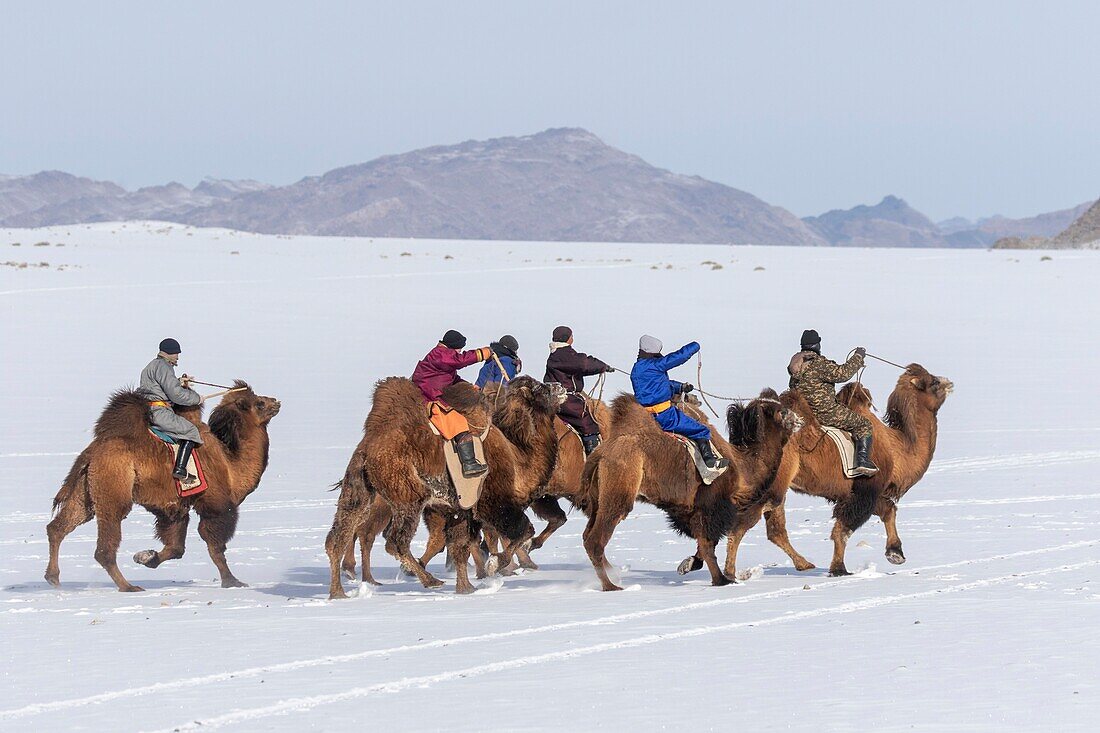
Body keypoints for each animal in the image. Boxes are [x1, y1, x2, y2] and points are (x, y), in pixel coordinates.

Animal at [44, 383, 281, 589]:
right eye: (259, 403)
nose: (276, 401)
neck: (231, 465)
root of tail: (91, 454)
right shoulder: (215, 504)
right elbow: (215, 546)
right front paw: (232, 582)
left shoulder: (174, 507)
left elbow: (176, 547)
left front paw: (145, 557)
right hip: (112, 486)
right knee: (104, 546)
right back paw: (128, 587)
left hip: (86, 490)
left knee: (59, 527)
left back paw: (53, 578)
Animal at [323, 374, 567, 598]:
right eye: (539, 388)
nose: (561, 387)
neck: (518, 458)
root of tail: (367, 450)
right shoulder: (492, 501)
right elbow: (523, 530)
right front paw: (495, 566)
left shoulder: (459, 509)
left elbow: (460, 547)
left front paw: (466, 588)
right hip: (408, 494)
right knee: (394, 541)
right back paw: (430, 580)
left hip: (358, 489)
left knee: (338, 536)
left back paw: (338, 593)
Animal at [576, 387, 800, 589]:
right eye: (782, 412)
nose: (799, 420)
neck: (741, 467)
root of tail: (601, 454)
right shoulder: (711, 503)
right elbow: (708, 544)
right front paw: (721, 580)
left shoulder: (690, 509)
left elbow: (704, 543)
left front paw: (688, 565)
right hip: (619, 488)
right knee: (596, 539)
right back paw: (611, 586)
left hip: (598, 497)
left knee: (587, 535)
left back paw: (613, 577)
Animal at [677, 360, 946, 576]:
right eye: (933, 382)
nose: (948, 381)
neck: (897, 448)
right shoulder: (865, 490)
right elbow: (845, 528)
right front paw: (839, 569)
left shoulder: (860, 492)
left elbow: (888, 511)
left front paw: (895, 554)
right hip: (771, 486)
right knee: (740, 525)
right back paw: (730, 572)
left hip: (773, 486)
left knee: (768, 528)